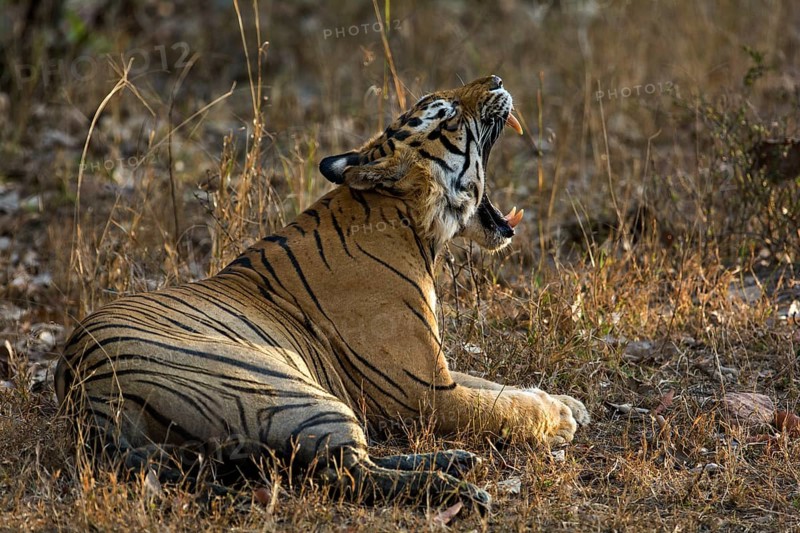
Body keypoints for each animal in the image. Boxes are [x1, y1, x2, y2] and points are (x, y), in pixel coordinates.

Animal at [55, 75, 589, 514]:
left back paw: (457, 462)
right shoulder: (424, 389)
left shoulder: (435, 369)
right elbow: (497, 405)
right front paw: (558, 416)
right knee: (347, 474)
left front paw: (567, 402)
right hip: (288, 389)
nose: (497, 79)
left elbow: (493, 384)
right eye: (447, 113)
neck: (413, 223)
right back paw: (460, 486)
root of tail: (88, 392)